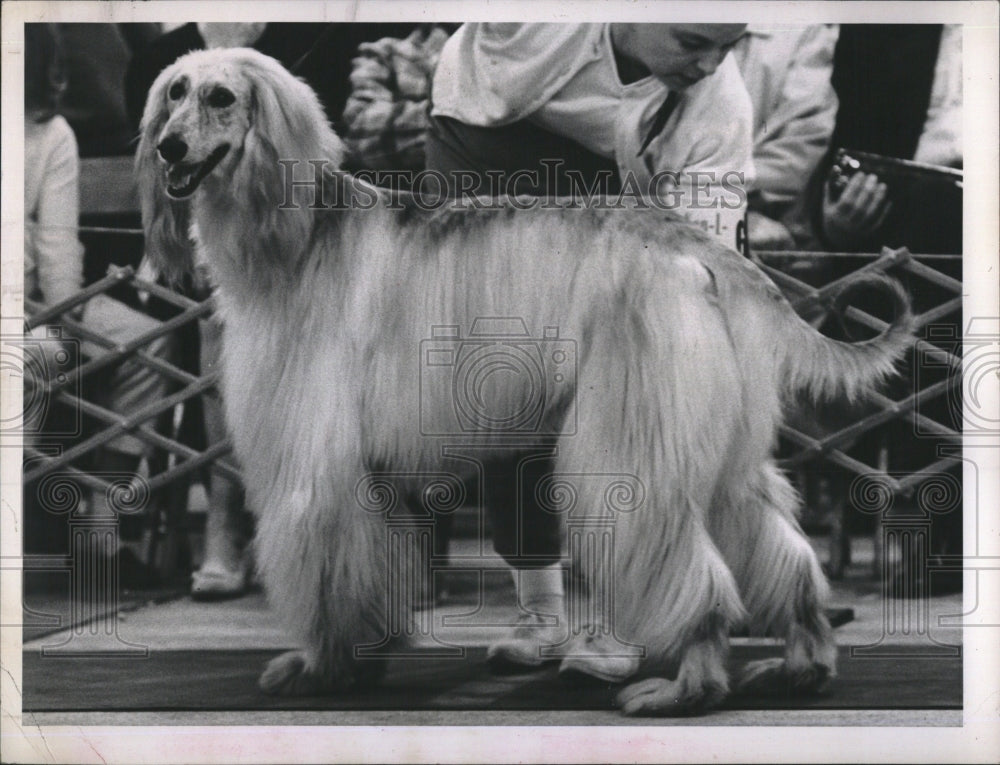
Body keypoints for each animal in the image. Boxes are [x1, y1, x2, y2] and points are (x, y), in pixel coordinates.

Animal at [139, 49, 916, 716]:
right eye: (174, 93)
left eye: (221, 97)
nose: (168, 150)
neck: (296, 240)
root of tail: (696, 244)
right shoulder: (371, 475)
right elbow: (372, 571)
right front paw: (365, 655)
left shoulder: (318, 465)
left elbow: (328, 569)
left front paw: (320, 667)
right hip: (723, 443)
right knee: (781, 553)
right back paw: (800, 665)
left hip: (630, 436)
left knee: (691, 573)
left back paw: (684, 684)